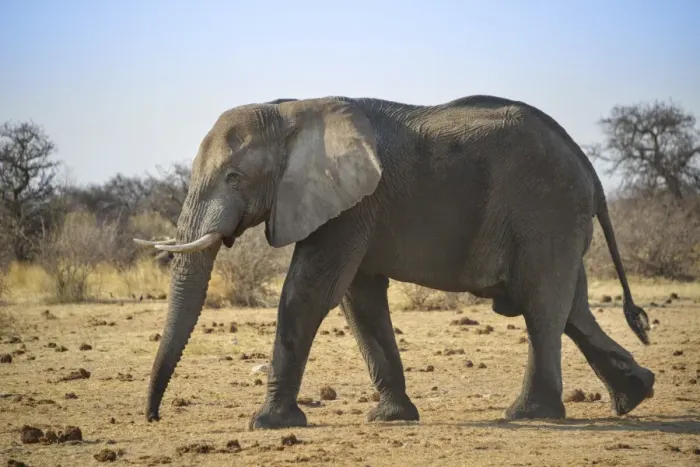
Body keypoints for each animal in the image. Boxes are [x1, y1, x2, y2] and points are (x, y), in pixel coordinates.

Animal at [134, 94, 654, 430]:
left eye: (234, 177)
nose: (154, 417)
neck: (289, 112)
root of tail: (589, 168)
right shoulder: (353, 206)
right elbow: (358, 299)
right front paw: (390, 419)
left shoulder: (351, 205)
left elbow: (310, 292)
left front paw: (266, 423)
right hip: (558, 219)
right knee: (572, 308)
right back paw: (635, 396)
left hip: (546, 210)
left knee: (542, 304)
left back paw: (529, 415)